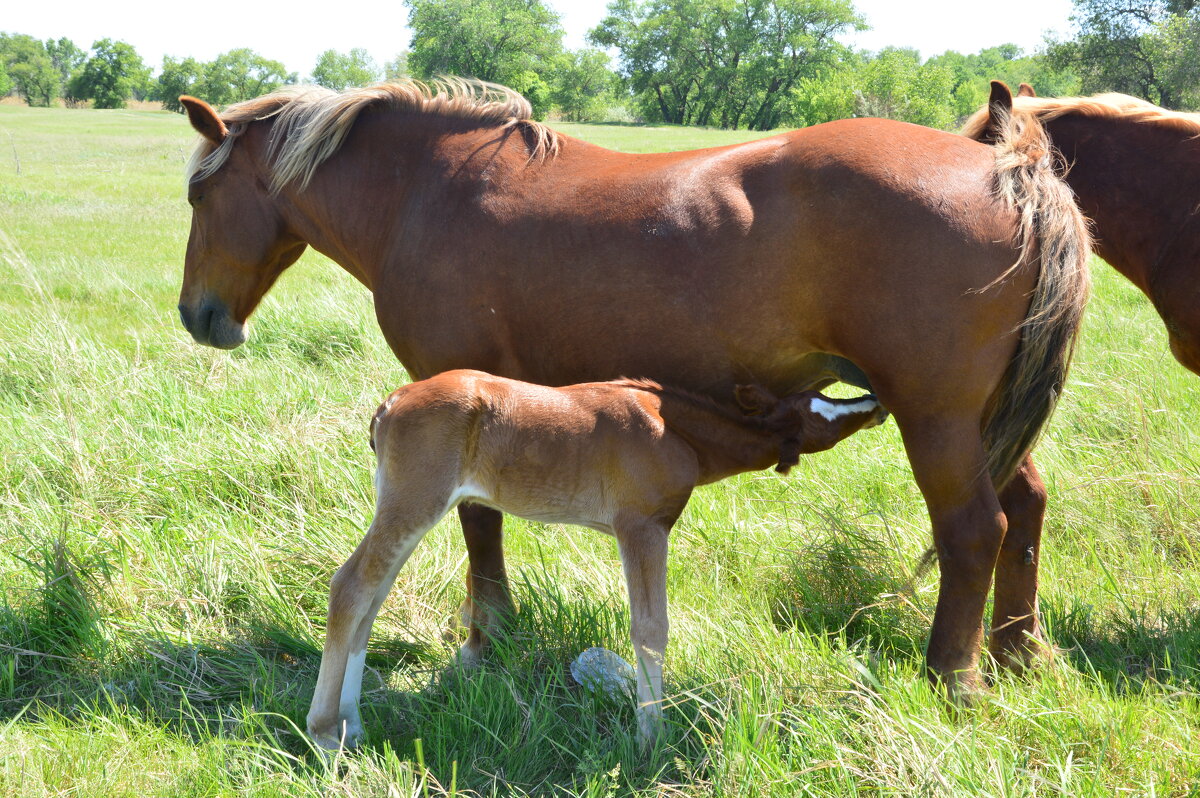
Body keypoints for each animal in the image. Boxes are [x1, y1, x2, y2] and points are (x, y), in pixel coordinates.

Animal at [307, 367, 892, 748]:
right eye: (820, 414)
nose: (874, 400)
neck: (676, 429)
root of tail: (392, 401)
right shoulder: (642, 527)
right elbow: (650, 629)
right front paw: (650, 740)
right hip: (414, 500)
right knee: (351, 586)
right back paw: (324, 731)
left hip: (409, 506)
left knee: (371, 597)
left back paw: (352, 722)